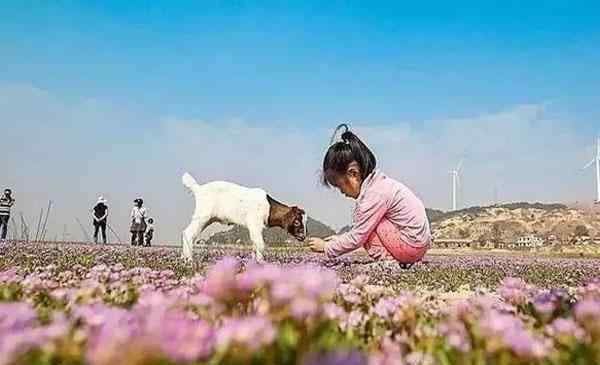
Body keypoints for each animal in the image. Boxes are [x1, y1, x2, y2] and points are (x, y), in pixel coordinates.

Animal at [180, 172, 308, 260]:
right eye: (297, 222)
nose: (303, 236)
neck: (269, 207)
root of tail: (198, 189)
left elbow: (255, 244)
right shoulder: (255, 224)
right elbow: (260, 244)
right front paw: (261, 263)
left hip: (207, 218)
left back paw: (184, 258)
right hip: (202, 216)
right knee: (188, 233)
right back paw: (189, 260)